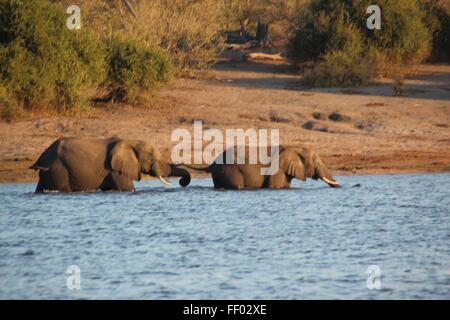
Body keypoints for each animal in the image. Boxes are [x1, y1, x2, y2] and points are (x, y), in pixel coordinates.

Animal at [29, 136, 192, 191]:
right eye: (152, 160)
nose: (182, 182)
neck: (131, 141)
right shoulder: (115, 169)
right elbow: (127, 188)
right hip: (58, 168)